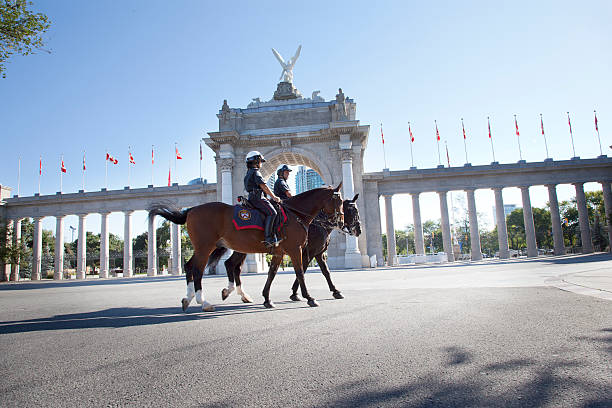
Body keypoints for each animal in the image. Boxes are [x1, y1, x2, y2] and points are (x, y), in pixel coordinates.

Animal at [146, 183, 342, 310]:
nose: (338, 221)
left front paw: (267, 299)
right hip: (205, 247)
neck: (295, 214)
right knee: (199, 270)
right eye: (338, 202)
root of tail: (192, 209)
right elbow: (300, 273)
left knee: (193, 266)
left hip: (209, 248)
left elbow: (272, 274)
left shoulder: (279, 252)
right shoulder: (296, 250)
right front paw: (309, 297)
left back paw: (190, 299)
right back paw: (204, 302)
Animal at [206, 194, 360, 306]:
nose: (359, 230)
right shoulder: (307, 253)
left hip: (243, 249)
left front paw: (335, 291)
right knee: (231, 265)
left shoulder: (318, 254)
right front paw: (296, 294)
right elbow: (302, 271)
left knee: (233, 266)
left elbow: (325, 272)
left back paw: (241, 295)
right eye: (353, 211)